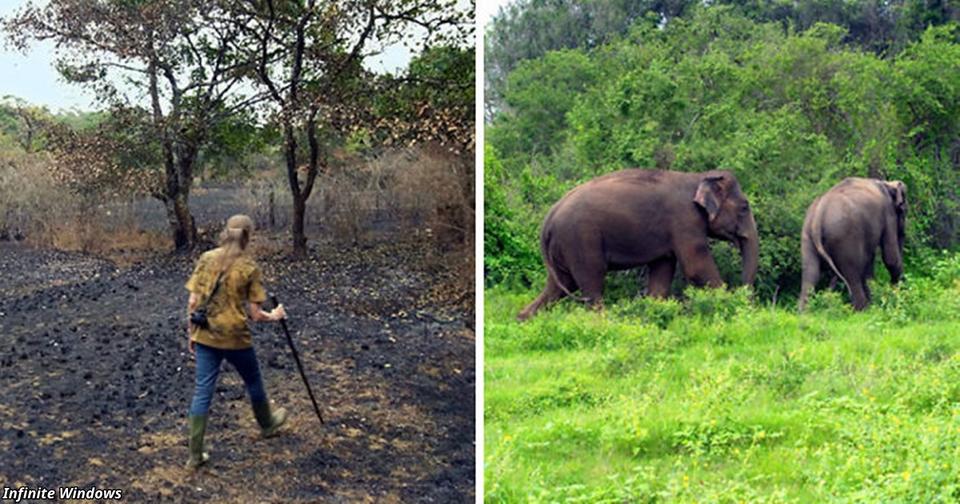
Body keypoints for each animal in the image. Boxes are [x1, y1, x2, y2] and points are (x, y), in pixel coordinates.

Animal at [516, 167, 756, 320]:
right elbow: (695, 267)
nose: (744, 295)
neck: (698, 177)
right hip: (579, 240)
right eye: (745, 207)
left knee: (559, 286)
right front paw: (731, 306)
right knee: (591, 281)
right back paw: (601, 323)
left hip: (562, 248)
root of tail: (547, 220)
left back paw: (523, 320)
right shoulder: (685, 221)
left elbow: (662, 271)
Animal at [796, 177, 908, 312]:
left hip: (806, 235)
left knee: (811, 273)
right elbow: (890, 258)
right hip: (844, 236)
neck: (886, 183)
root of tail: (818, 216)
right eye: (904, 210)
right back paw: (863, 310)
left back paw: (803, 312)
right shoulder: (888, 213)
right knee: (852, 271)